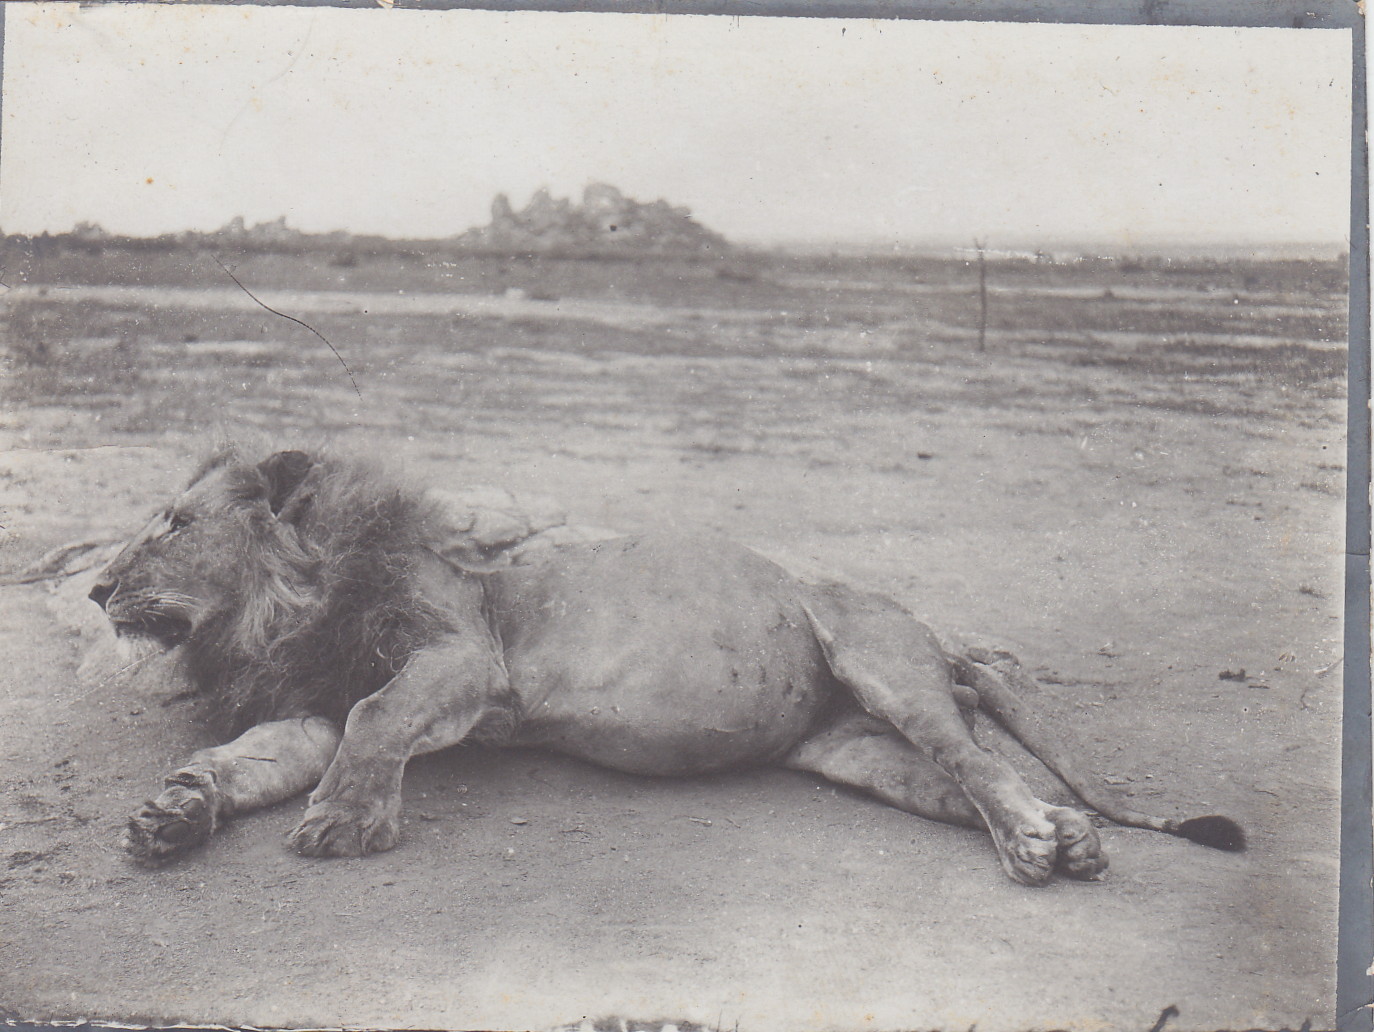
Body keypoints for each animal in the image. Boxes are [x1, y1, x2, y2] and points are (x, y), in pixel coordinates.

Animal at [88, 439, 1247, 884]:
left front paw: (343, 822)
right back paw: (1068, 836)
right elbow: (249, 761)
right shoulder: (316, 704)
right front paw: (174, 814)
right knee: (976, 773)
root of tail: (937, 630)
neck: (282, 616)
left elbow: (379, 723)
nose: (96, 589)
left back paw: (1039, 847)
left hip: (879, 660)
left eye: (173, 527)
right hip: (856, 752)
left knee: (974, 764)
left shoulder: (463, 657)